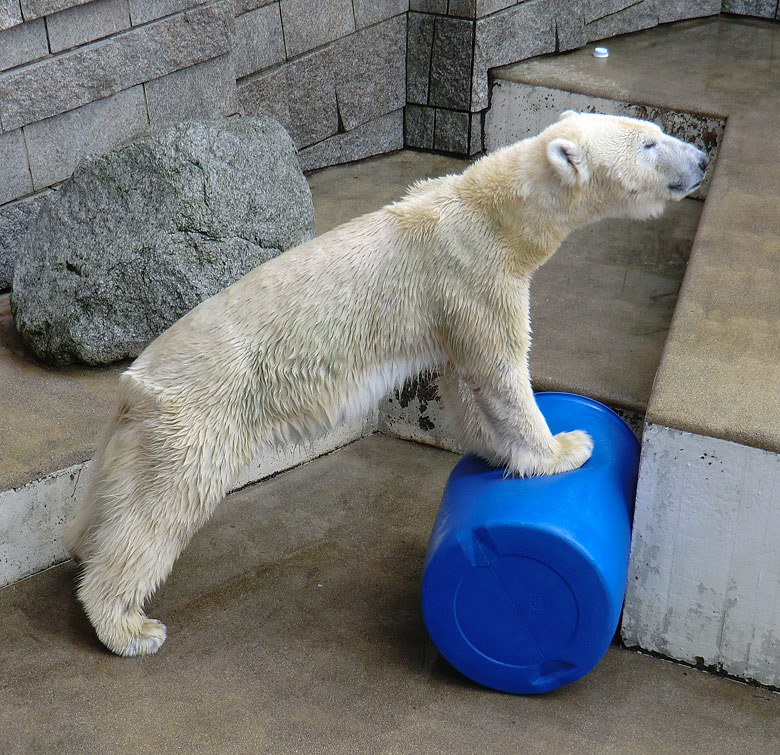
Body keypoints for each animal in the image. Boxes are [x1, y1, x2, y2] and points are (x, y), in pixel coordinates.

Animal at [70, 112, 708, 656]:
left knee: (116, 499)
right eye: (649, 143)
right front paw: (564, 447)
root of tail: (134, 383)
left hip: (138, 434)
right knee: (164, 506)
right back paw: (129, 627)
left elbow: (467, 383)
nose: (702, 159)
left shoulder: (454, 302)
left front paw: (498, 451)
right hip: (200, 415)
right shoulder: (475, 276)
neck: (492, 212)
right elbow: (501, 369)